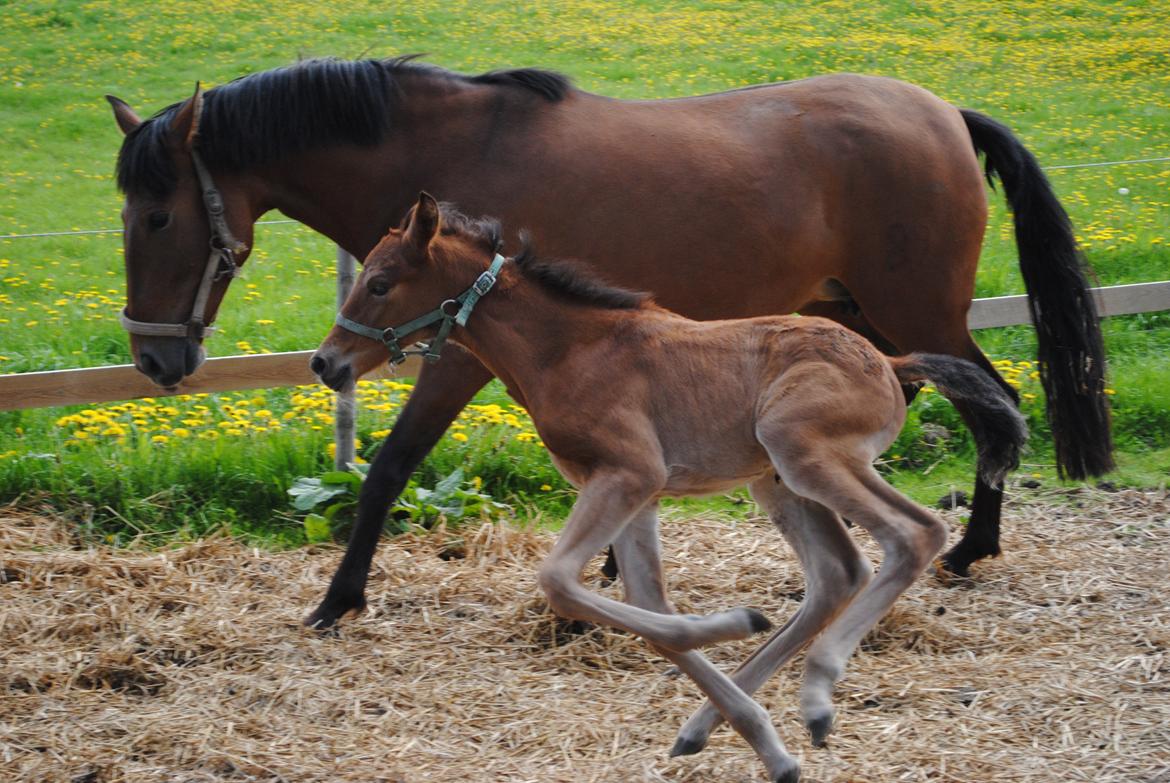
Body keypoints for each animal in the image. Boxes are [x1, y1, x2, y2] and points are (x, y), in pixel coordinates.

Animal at [111, 56, 1113, 627]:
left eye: (157, 215)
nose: (157, 359)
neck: (452, 150)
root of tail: (945, 112)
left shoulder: (458, 354)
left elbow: (391, 464)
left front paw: (337, 598)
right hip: (854, 316)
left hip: (918, 311)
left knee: (997, 403)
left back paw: (969, 549)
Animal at [311, 191, 1024, 777]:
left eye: (380, 283)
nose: (325, 362)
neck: (568, 349)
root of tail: (889, 361)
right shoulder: (634, 493)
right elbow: (649, 606)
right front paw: (760, 734)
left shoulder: (629, 474)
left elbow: (563, 582)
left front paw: (735, 625)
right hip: (777, 482)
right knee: (837, 573)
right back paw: (716, 724)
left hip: (803, 455)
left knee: (915, 533)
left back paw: (819, 693)